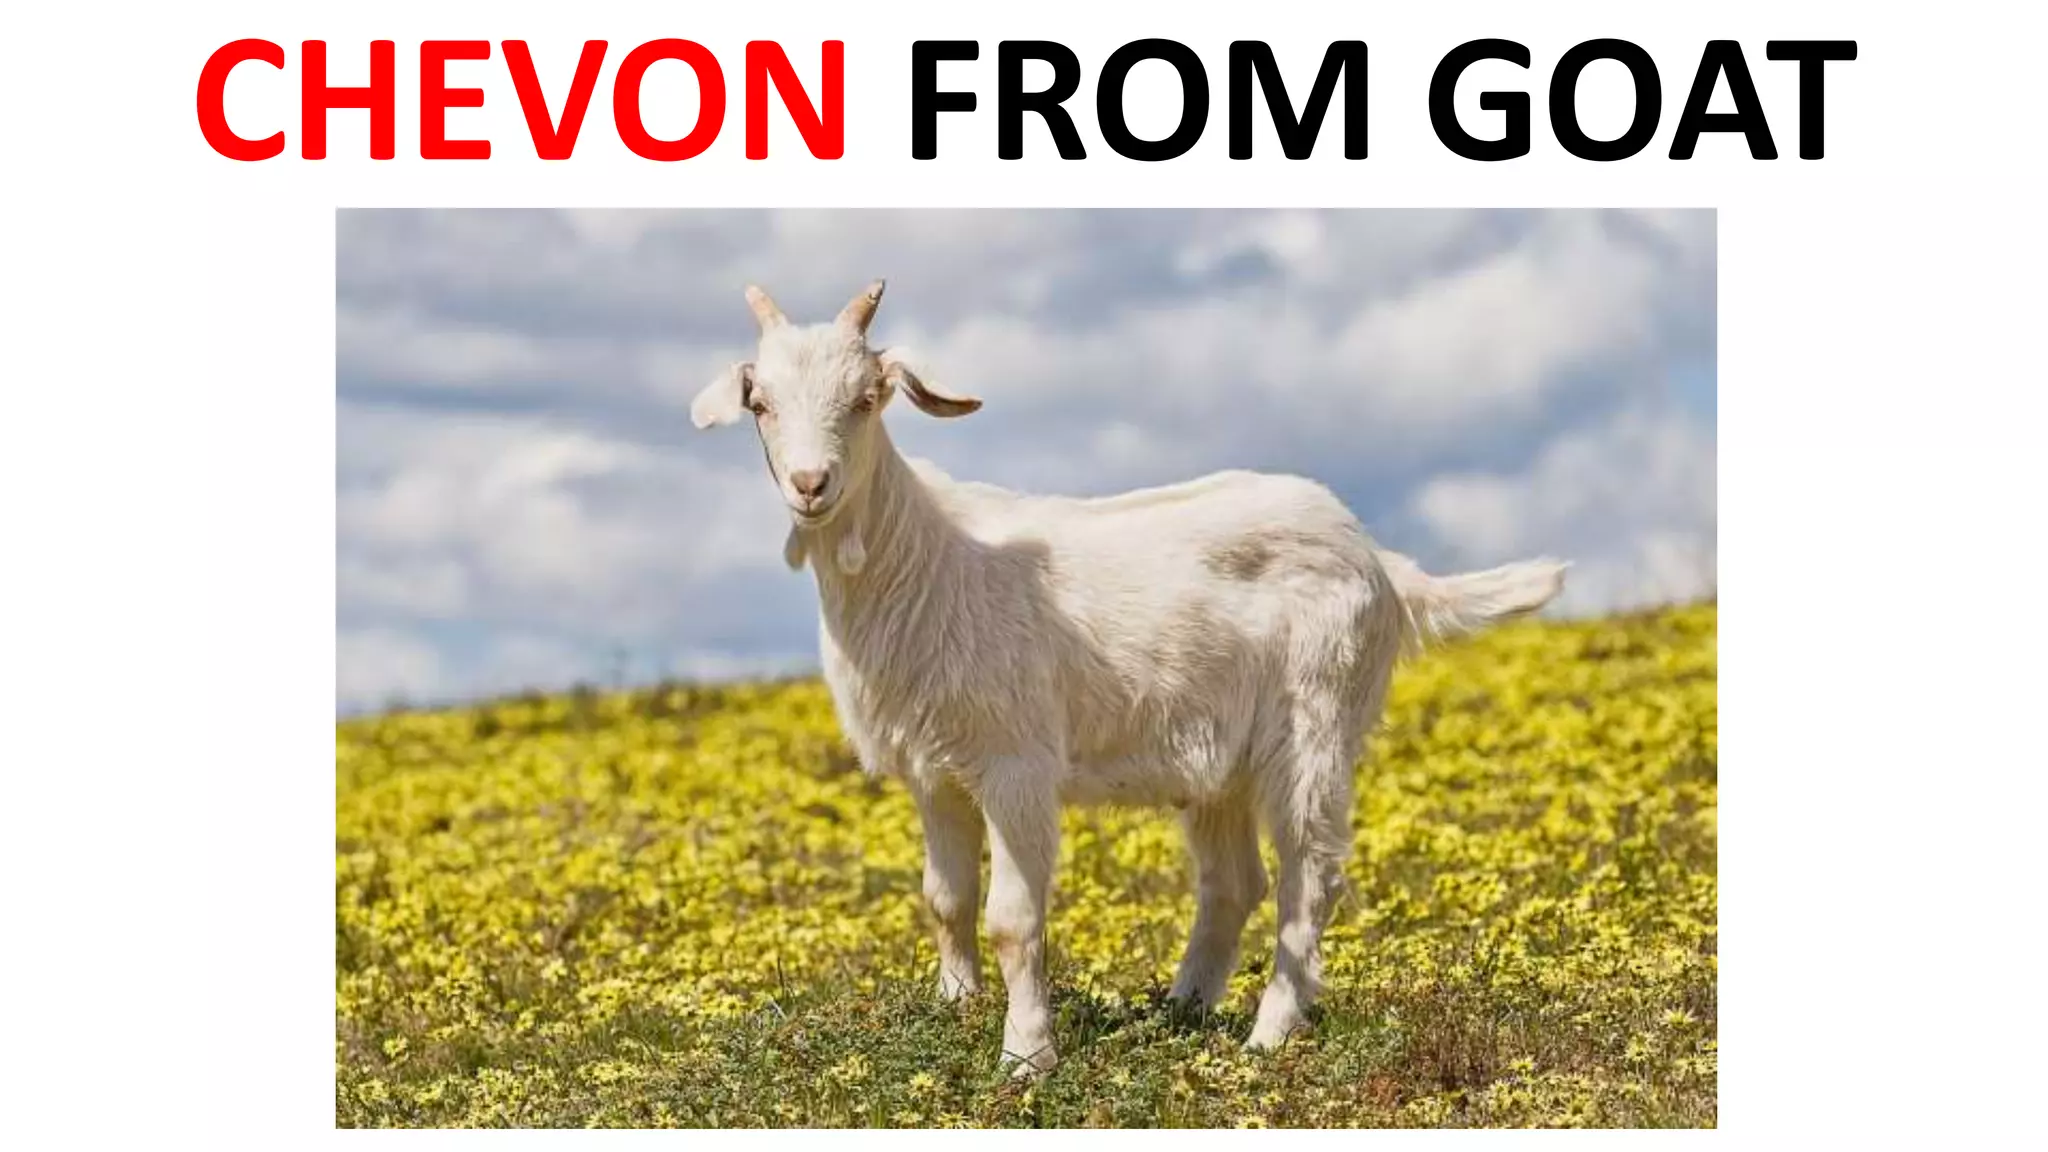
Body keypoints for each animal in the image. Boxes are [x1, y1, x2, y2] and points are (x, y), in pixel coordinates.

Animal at [691, 280, 1566, 1075]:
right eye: (760, 402)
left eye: (867, 397)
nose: (811, 485)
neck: (928, 558)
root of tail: (1380, 561)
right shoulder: (932, 771)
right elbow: (946, 901)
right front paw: (956, 1012)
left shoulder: (1016, 764)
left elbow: (1013, 917)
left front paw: (1026, 1056)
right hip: (1220, 763)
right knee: (1232, 883)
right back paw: (1180, 1013)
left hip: (1317, 722)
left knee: (1310, 877)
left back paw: (1269, 1034)